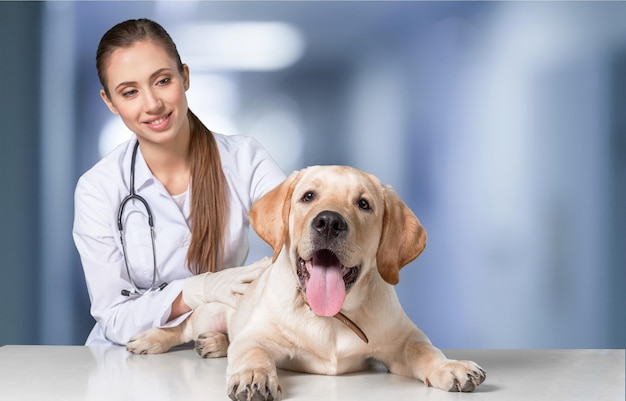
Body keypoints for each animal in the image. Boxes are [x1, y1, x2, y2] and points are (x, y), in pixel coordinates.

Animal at [127, 166, 486, 400]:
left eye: (364, 204)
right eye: (308, 196)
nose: (328, 222)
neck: (332, 318)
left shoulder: (402, 340)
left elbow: (424, 350)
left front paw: (451, 366)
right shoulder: (257, 335)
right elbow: (252, 351)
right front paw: (254, 376)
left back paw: (214, 343)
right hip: (211, 310)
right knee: (183, 327)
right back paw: (152, 338)